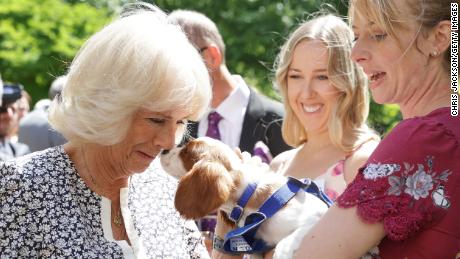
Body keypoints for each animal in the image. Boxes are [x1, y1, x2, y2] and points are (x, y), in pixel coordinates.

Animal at [160, 137, 328, 258]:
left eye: (186, 152)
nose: (164, 150)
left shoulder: (318, 213)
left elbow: (292, 237)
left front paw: (283, 252)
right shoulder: (257, 248)